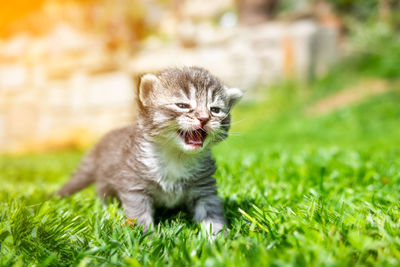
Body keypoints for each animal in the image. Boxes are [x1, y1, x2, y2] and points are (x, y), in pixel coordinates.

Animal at [57, 66, 242, 234]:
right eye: (182, 105)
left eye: (215, 110)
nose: (204, 118)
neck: (176, 155)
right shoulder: (134, 184)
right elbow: (140, 214)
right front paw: (147, 237)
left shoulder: (204, 187)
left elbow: (211, 213)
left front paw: (217, 238)